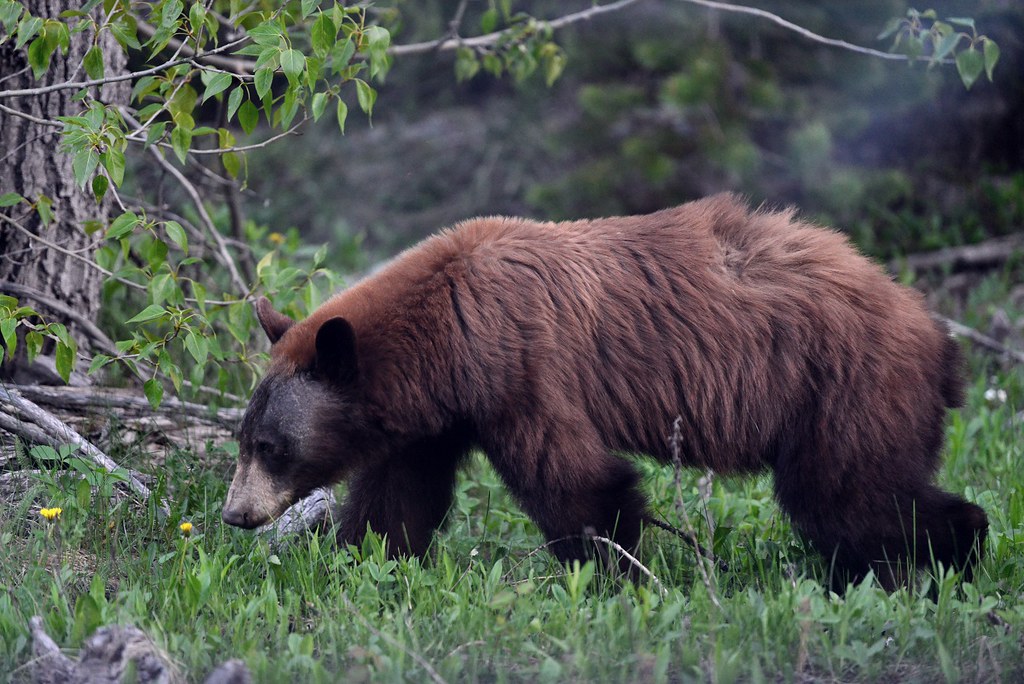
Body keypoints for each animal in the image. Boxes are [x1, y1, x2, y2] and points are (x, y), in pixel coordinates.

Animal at [221, 194, 987, 590]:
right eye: (244, 438)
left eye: (271, 445)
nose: (234, 513)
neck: (447, 331)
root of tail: (933, 330)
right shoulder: (436, 417)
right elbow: (398, 497)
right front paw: (361, 562)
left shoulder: (521, 365)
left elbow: (576, 479)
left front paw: (608, 576)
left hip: (843, 386)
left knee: (852, 496)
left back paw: (941, 557)